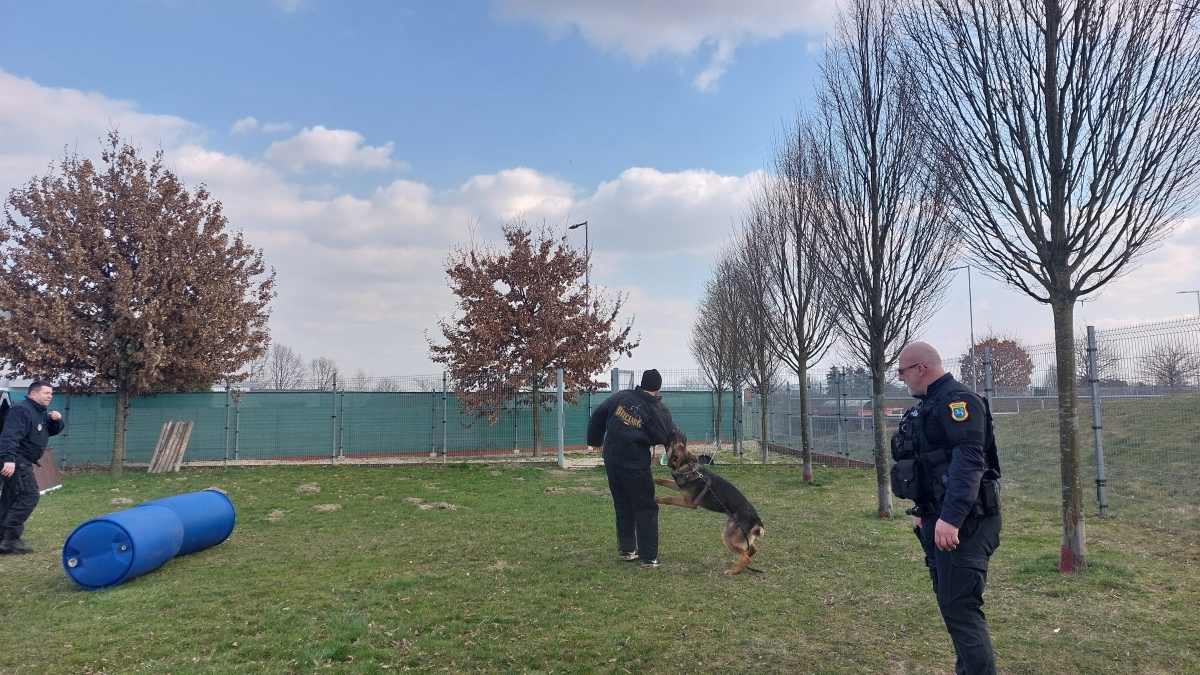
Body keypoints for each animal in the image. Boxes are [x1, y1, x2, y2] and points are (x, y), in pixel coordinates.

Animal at [653, 438, 765, 574]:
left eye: (674, 444)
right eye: (678, 444)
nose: (674, 436)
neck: (687, 466)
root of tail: (756, 519)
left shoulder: (689, 503)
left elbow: (669, 499)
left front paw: (657, 498)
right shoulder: (679, 488)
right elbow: (662, 480)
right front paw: (653, 478)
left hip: (728, 537)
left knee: (746, 558)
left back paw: (733, 570)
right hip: (742, 537)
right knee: (752, 550)